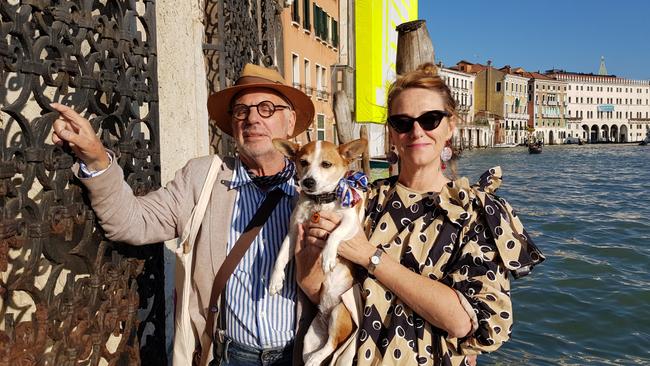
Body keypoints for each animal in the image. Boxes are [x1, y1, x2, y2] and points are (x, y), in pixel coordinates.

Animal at [268, 138, 368, 366]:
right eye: (303, 162)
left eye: (326, 164)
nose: (308, 182)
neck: (320, 202)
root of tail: (325, 316)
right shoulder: (293, 232)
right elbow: (279, 257)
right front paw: (275, 281)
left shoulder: (351, 223)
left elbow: (335, 234)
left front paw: (328, 257)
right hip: (310, 337)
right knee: (325, 347)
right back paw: (313, 358)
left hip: (340, 311)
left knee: (333, 344)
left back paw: (316, 358)